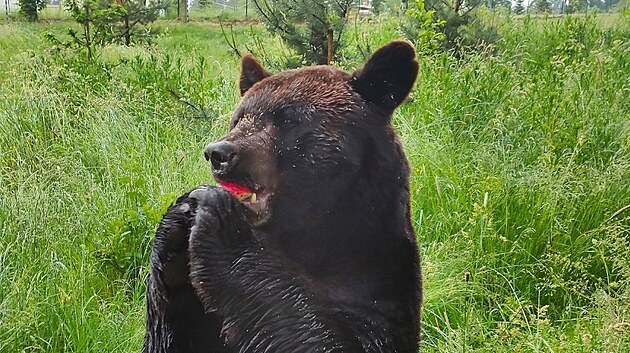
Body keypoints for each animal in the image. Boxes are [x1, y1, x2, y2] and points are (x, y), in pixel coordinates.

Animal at [143, 42, 424, 352]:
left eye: (288, 118)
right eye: (238, 118)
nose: (218, 153)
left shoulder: (377, 289)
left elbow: (309, 332)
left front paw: (218, 215)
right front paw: (177, 222)